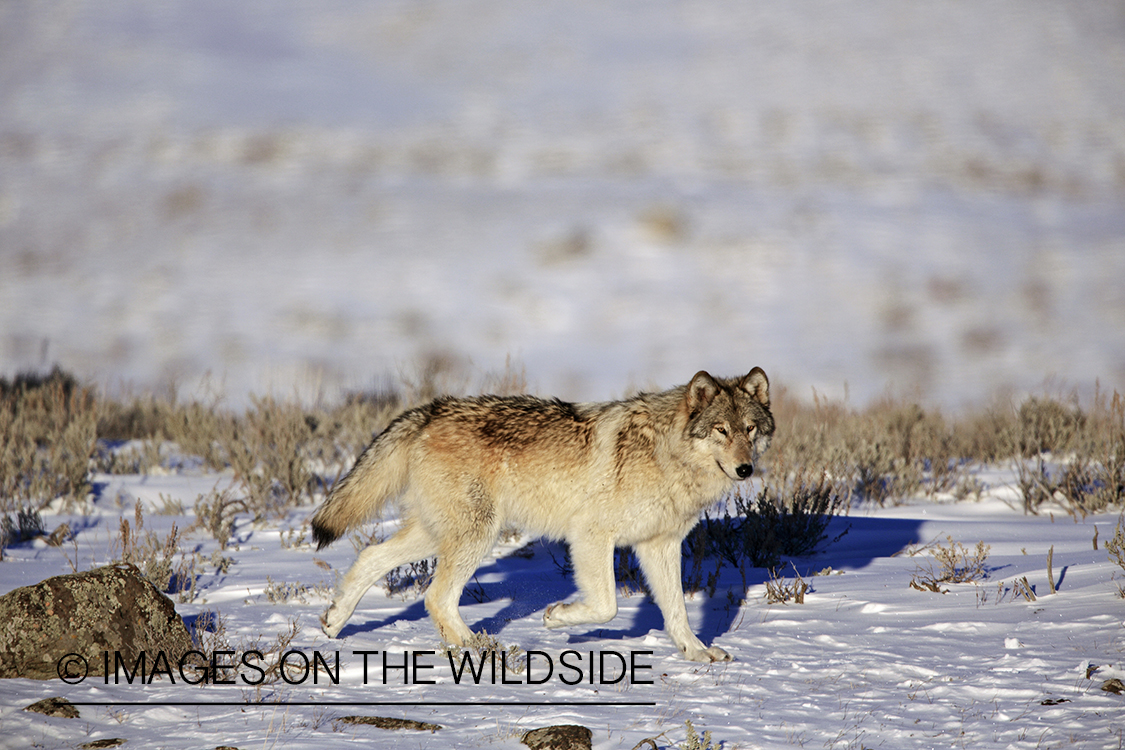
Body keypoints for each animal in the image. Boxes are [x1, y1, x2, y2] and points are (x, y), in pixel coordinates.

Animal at [310, 368, 773, 662]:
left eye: (750, 429)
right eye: (721, 431)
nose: (745, 469)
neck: (667, 455)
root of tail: (432, 410)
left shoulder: (659, 545)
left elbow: (677, 611)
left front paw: (696, 653)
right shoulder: (590, 535)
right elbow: (606, 606)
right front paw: (557, 617)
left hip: (440, 534)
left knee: (371, 557)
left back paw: (334, 622)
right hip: (477, 535)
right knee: (435, 597)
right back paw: (479, 648)